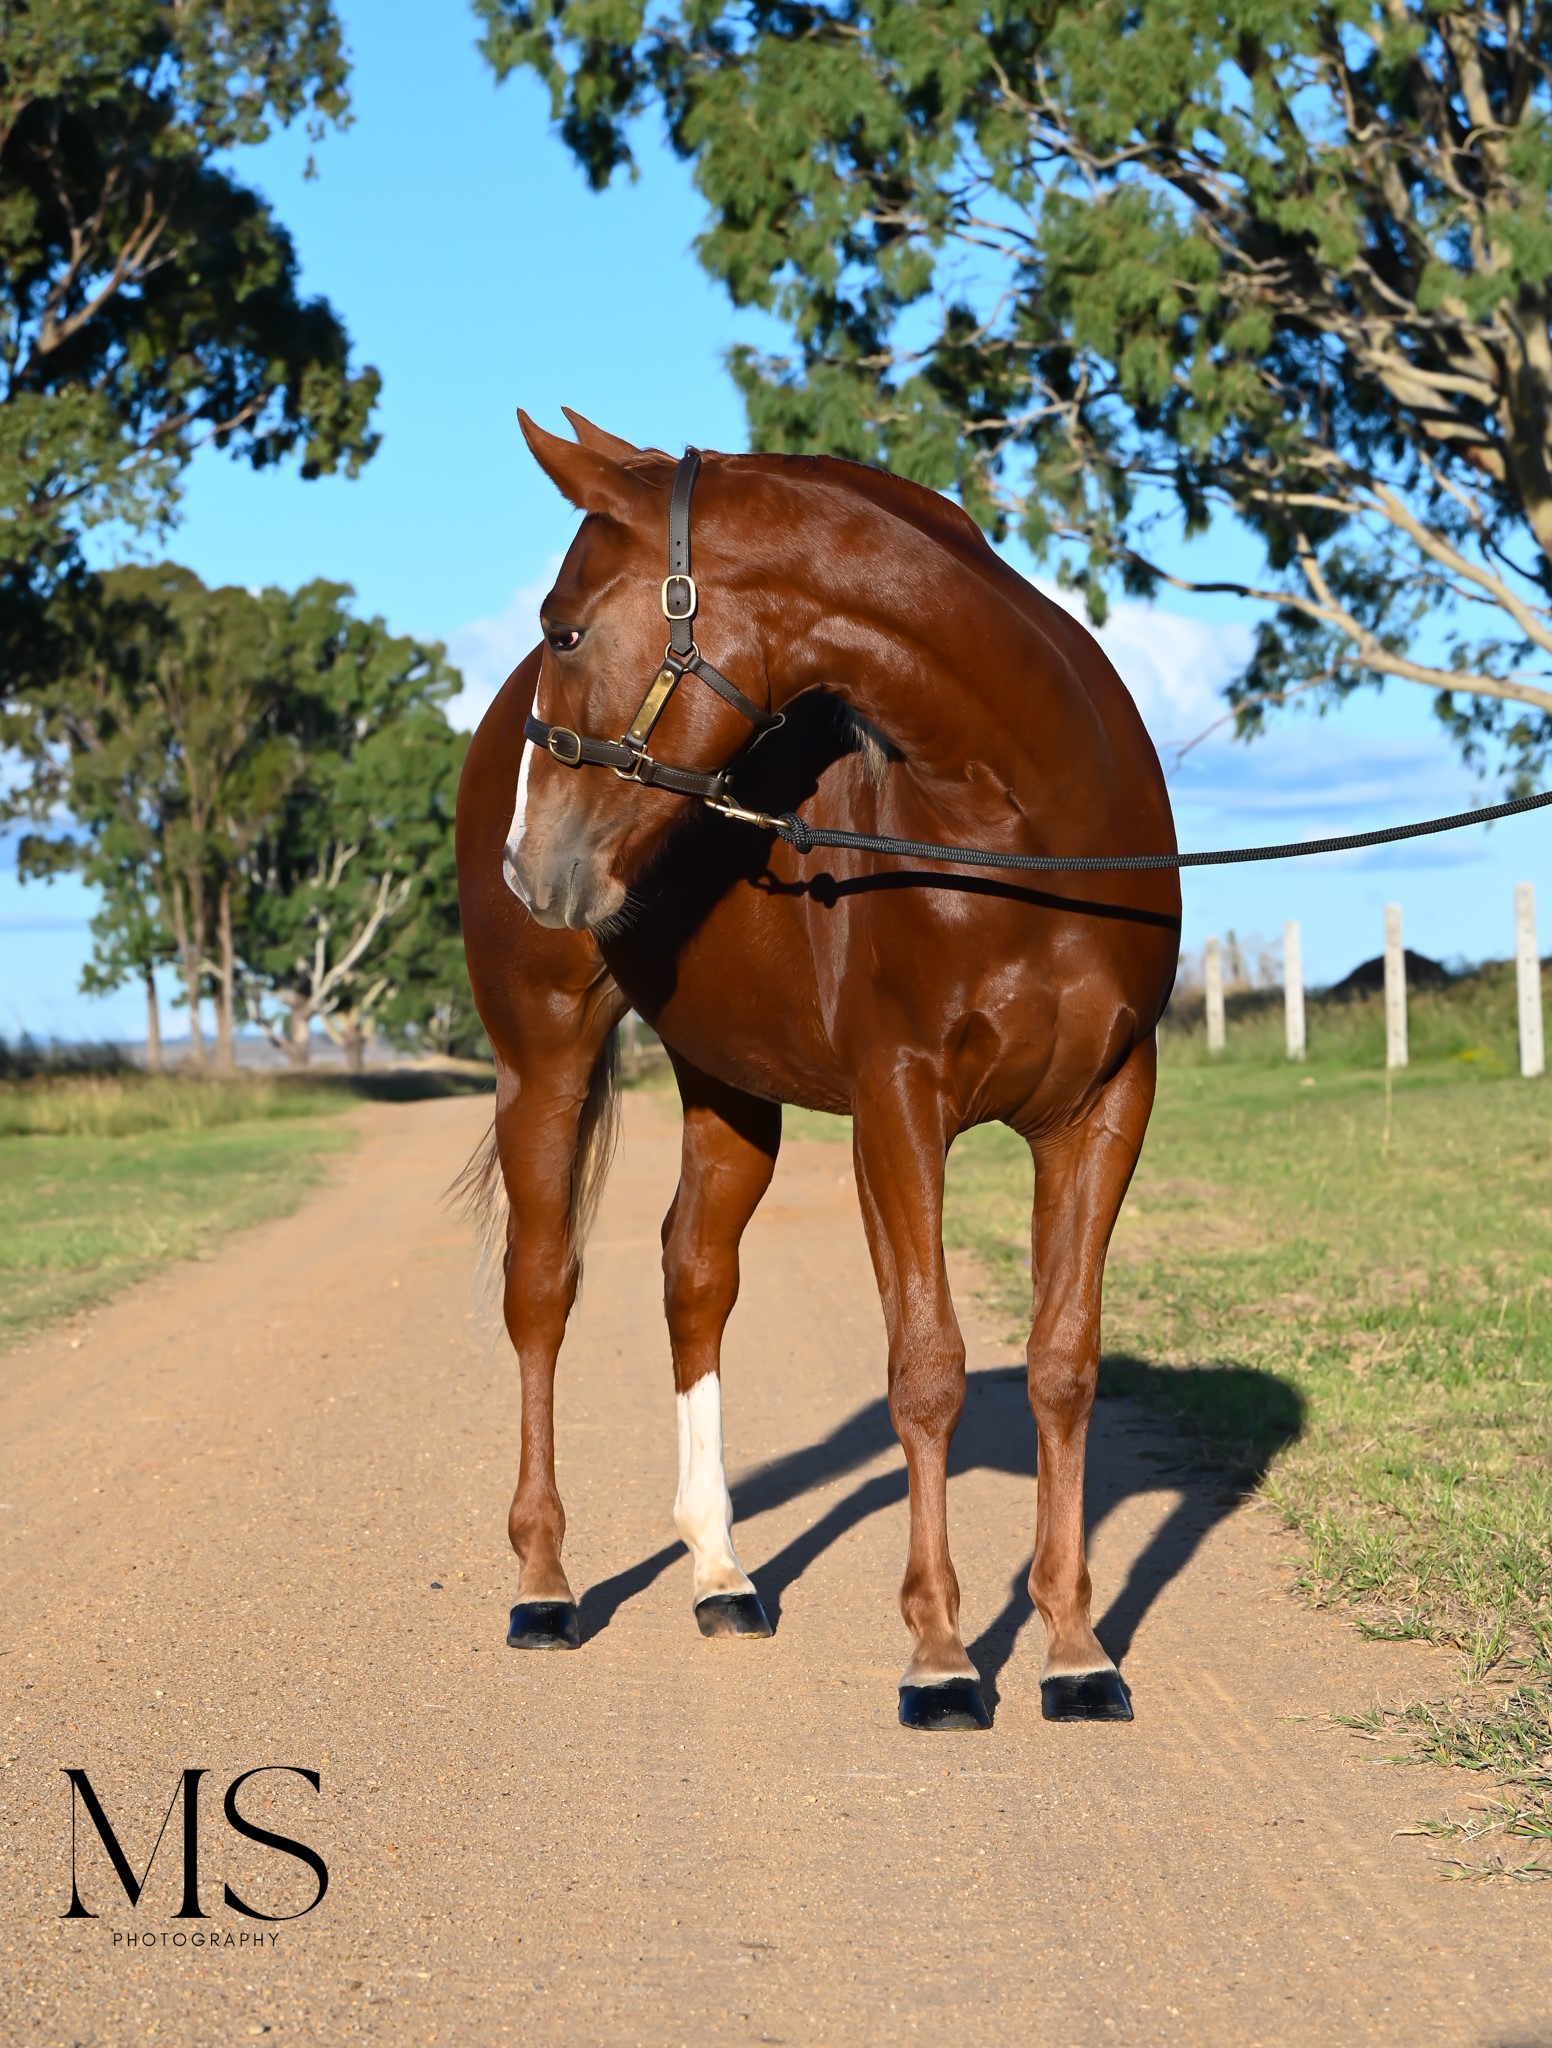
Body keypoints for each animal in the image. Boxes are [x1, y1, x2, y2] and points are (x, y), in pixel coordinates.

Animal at [457, 410, 1180, 1730]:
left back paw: (720, 1571)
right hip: (541, 1056)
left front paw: (1073, 1648)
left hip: (727, 1081)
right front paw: (940, 1654)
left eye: (564, 629)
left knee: (693, 1277)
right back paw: (543, 1582)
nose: (529, 860)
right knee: (540, 1290)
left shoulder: (1104, 1106)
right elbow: (927, 1366)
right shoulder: (898, 1104)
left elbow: (1061, 1363)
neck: (1026, 820)